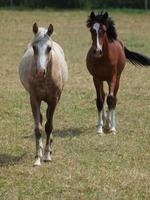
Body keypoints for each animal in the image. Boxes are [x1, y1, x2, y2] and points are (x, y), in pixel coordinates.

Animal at [19, 23, 68, 166]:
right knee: (41, 118)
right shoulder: (34, 98)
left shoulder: (53, 99)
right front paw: (37, 158)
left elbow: (49, 126)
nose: (41, 71)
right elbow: (38, 128)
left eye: (49, 48)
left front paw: (47, 155)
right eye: (34, 47)